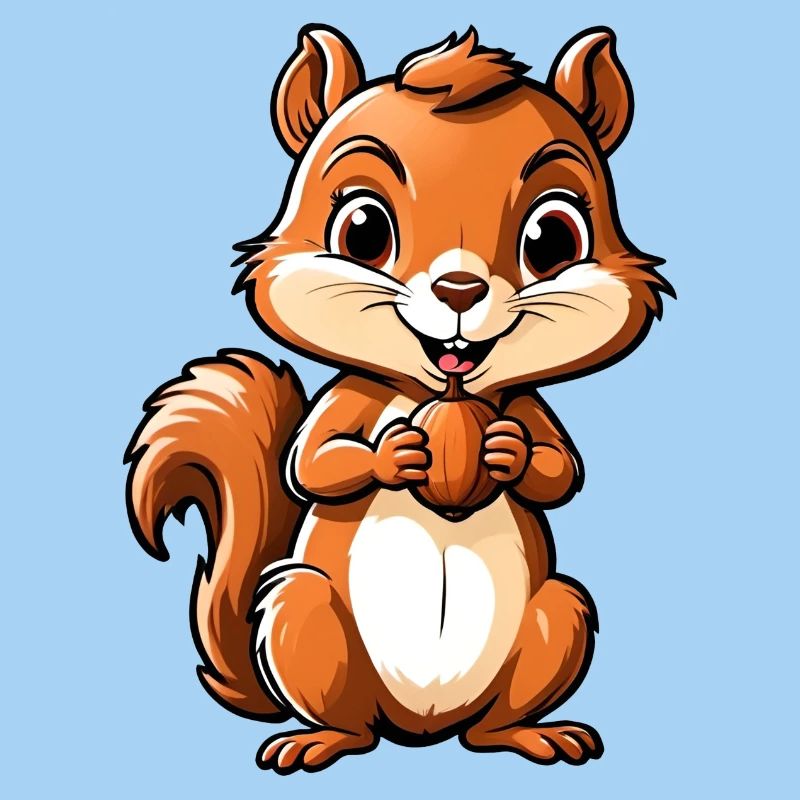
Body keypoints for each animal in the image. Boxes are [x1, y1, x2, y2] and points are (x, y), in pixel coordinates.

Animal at [125, 25, 670, 773]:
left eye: (554, 239)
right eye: (363, 229)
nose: (460, 290)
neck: (445, 392)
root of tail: (421, 729)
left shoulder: (527, 403)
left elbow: (561, 468)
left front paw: (508, 452)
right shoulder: (352, 394)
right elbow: (313, 463)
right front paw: (397, 451)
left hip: (558, 617)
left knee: (493, 721)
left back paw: (530, 734)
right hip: (305, 618)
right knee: (350, 718)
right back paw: (319, 740)